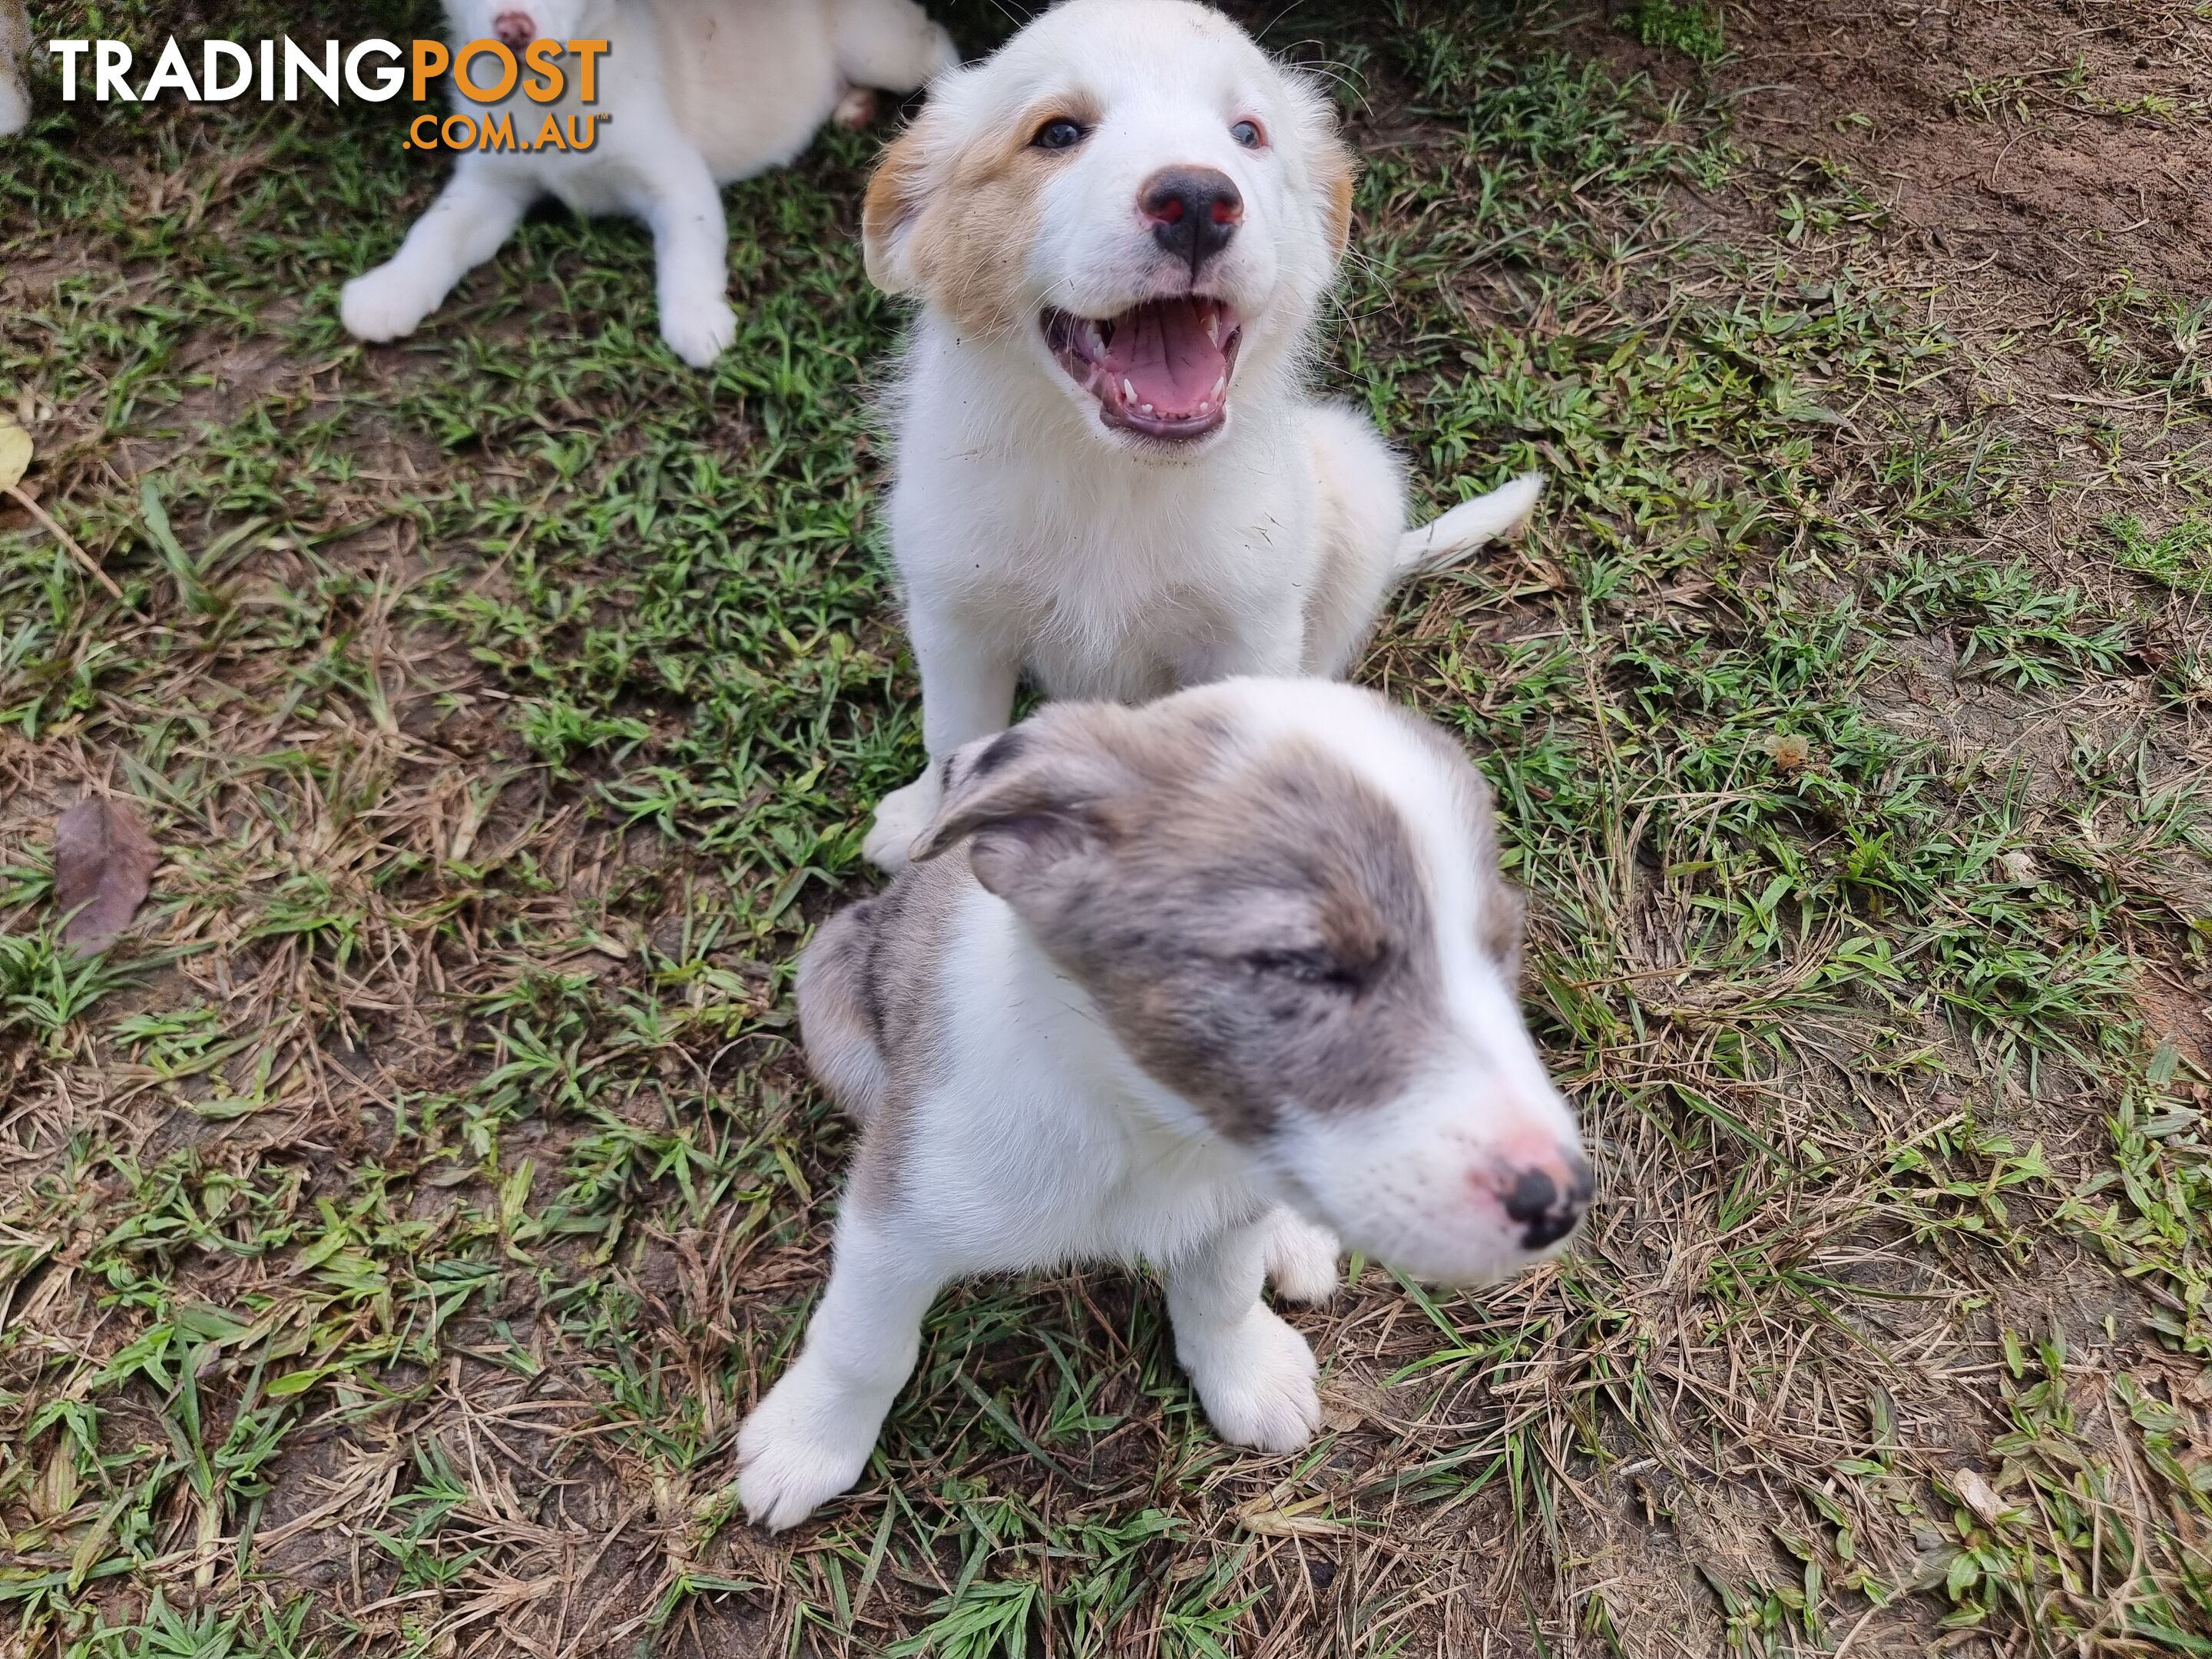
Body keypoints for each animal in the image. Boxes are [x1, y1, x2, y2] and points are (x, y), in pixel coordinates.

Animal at [347, 0, 959, 367]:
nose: (513, 27)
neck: (543, 98)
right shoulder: (489, 184)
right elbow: (435, 233)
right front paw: (388, 291)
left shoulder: (676, 179)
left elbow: (689, 254)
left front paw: (696, 321)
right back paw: (852, 106)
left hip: (877, 46)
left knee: (941, 49)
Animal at [743, 681, 1592, 1539]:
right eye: (1302, 965)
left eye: (1500, 952)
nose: (1559, 1203)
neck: (1149, 1129)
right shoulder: (900, 1213)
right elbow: (863, 1346)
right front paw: (808, 1444)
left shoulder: (1231, 1198)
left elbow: (1222, 1296)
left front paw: (1246, 1375)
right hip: (831, 988)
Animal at [853, 0, 1548, 876]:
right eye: (1057, 133)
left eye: (1247, 133)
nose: (1195, 200)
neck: (1111, 476)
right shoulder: (954, 614)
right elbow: (952, 731)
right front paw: (926, 822)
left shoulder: (1250, 629)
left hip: (1356, 479)